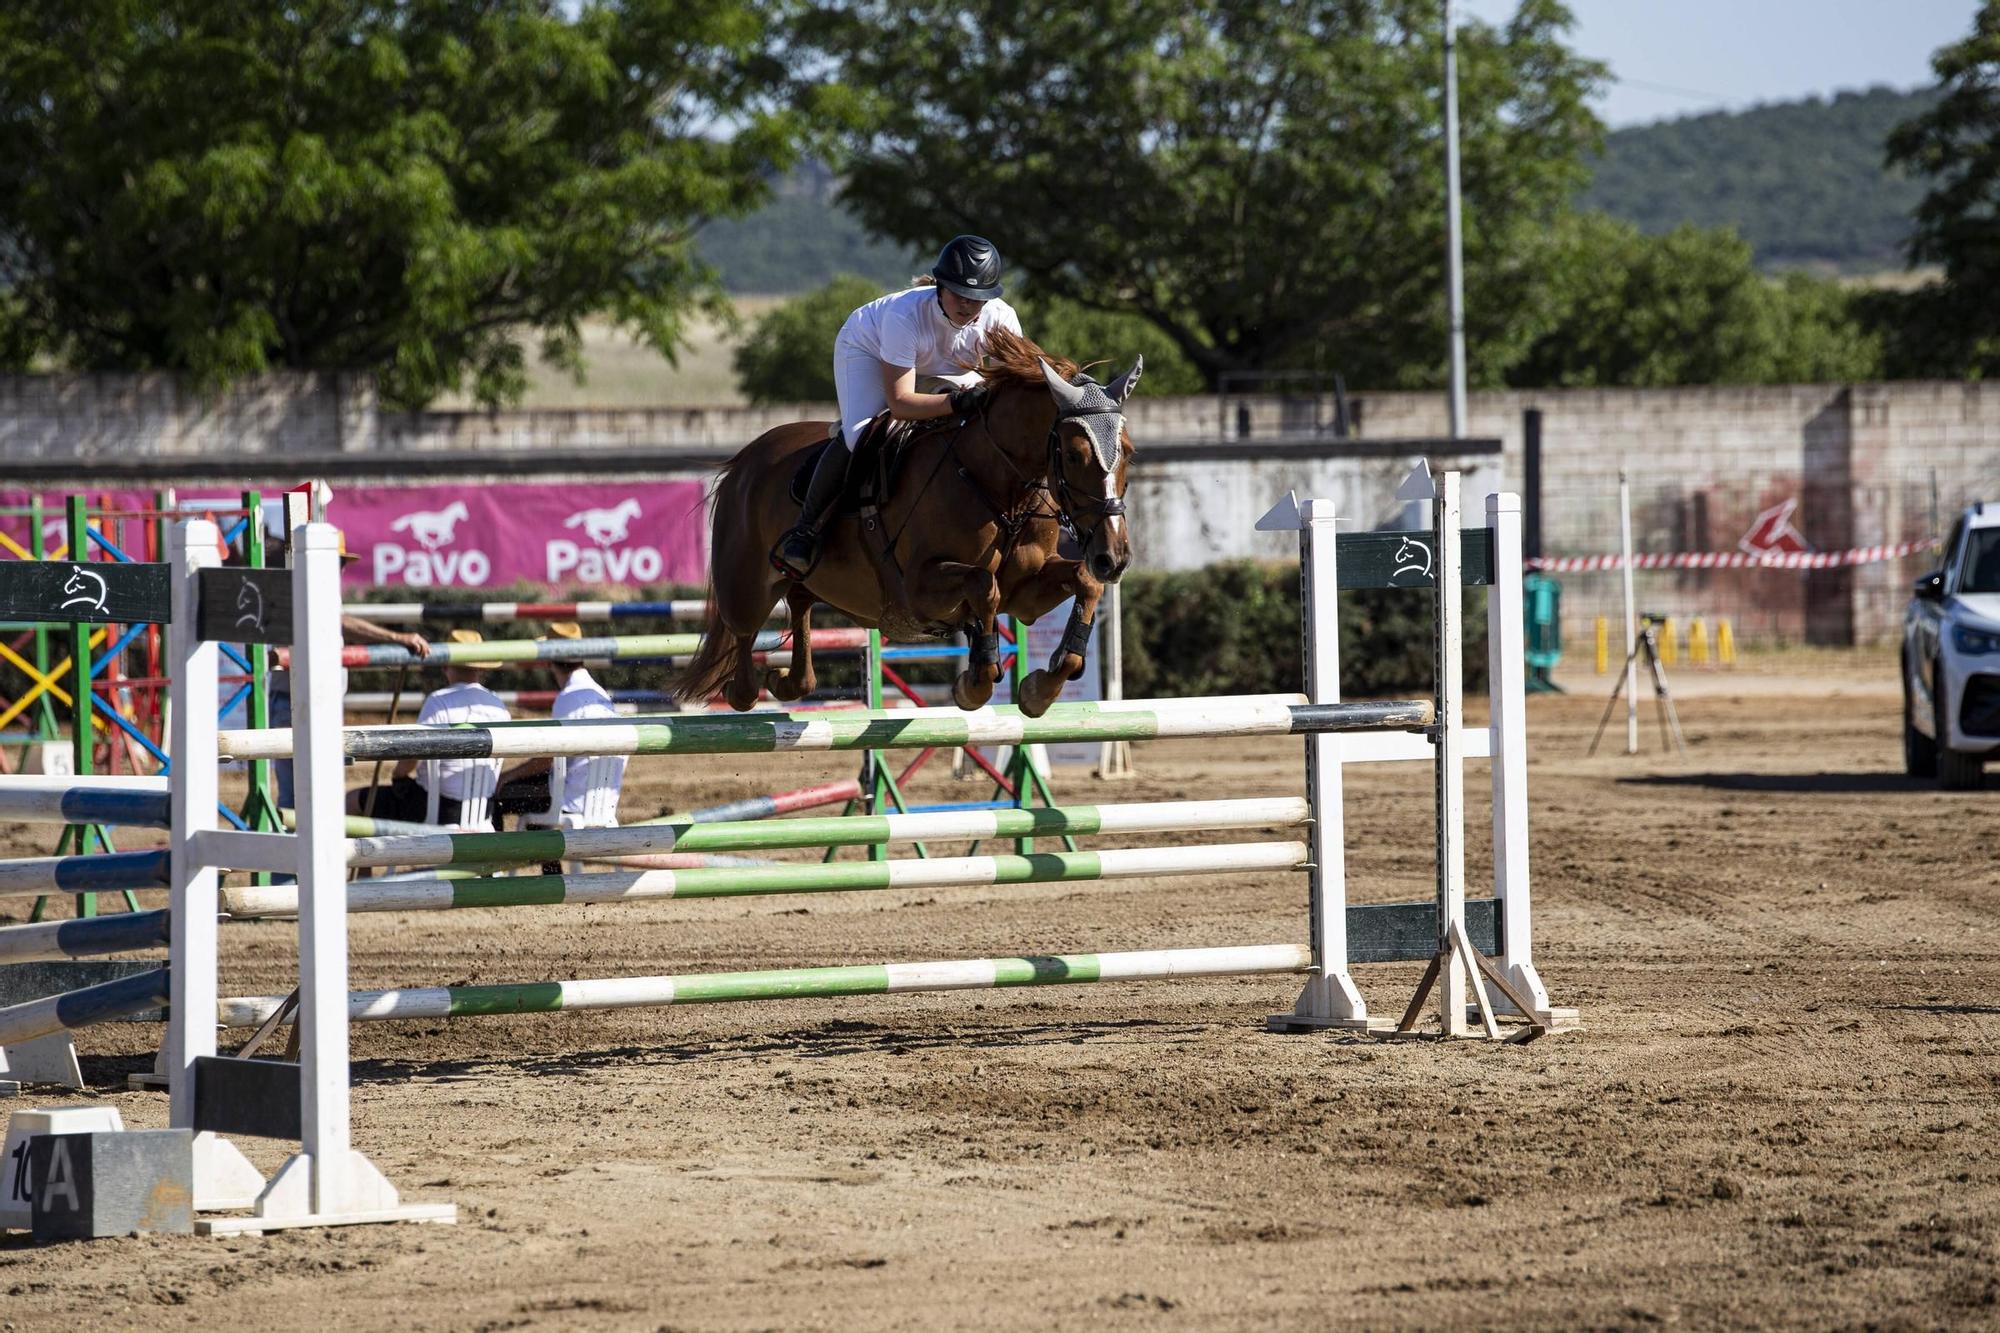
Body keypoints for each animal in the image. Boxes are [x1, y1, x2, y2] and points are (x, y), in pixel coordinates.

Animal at [676, 326, 1136, 712]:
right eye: (1074, 455)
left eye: (1128, 452)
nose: (1114, 558)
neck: (998, 485)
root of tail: (743, 461)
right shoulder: (918, 589)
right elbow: (982, 585)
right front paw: (974, 683)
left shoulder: (1025, 594)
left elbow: (1084, 582)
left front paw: (1041, 688)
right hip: (746, 586)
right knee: (743, 641)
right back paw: (747, 688)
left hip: (810, 581)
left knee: (801, 606)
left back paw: (787, 680)